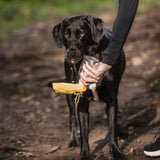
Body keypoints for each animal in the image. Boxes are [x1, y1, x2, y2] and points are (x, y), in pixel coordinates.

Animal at [50, 15, 127, 160]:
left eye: (82, 33)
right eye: (66, 34)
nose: (70, 54)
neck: (90, 61)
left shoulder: (111, 99)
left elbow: (112, 128)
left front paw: (116, 151)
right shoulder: (82, 104)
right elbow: (84, 135)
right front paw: (84, 155)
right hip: (70, 93)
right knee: (72, 117)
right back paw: (72, 141)